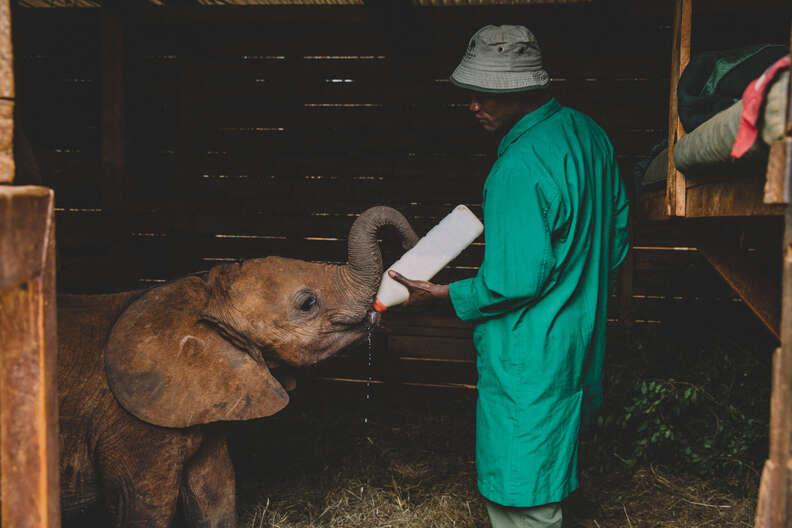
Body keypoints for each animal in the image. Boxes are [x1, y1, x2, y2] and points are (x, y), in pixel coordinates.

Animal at [58, 207, 418, 528]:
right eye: (307, 303)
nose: (410, 242)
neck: (201, 295)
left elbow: (214, 491)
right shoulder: (132, 426)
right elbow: (144, 508)